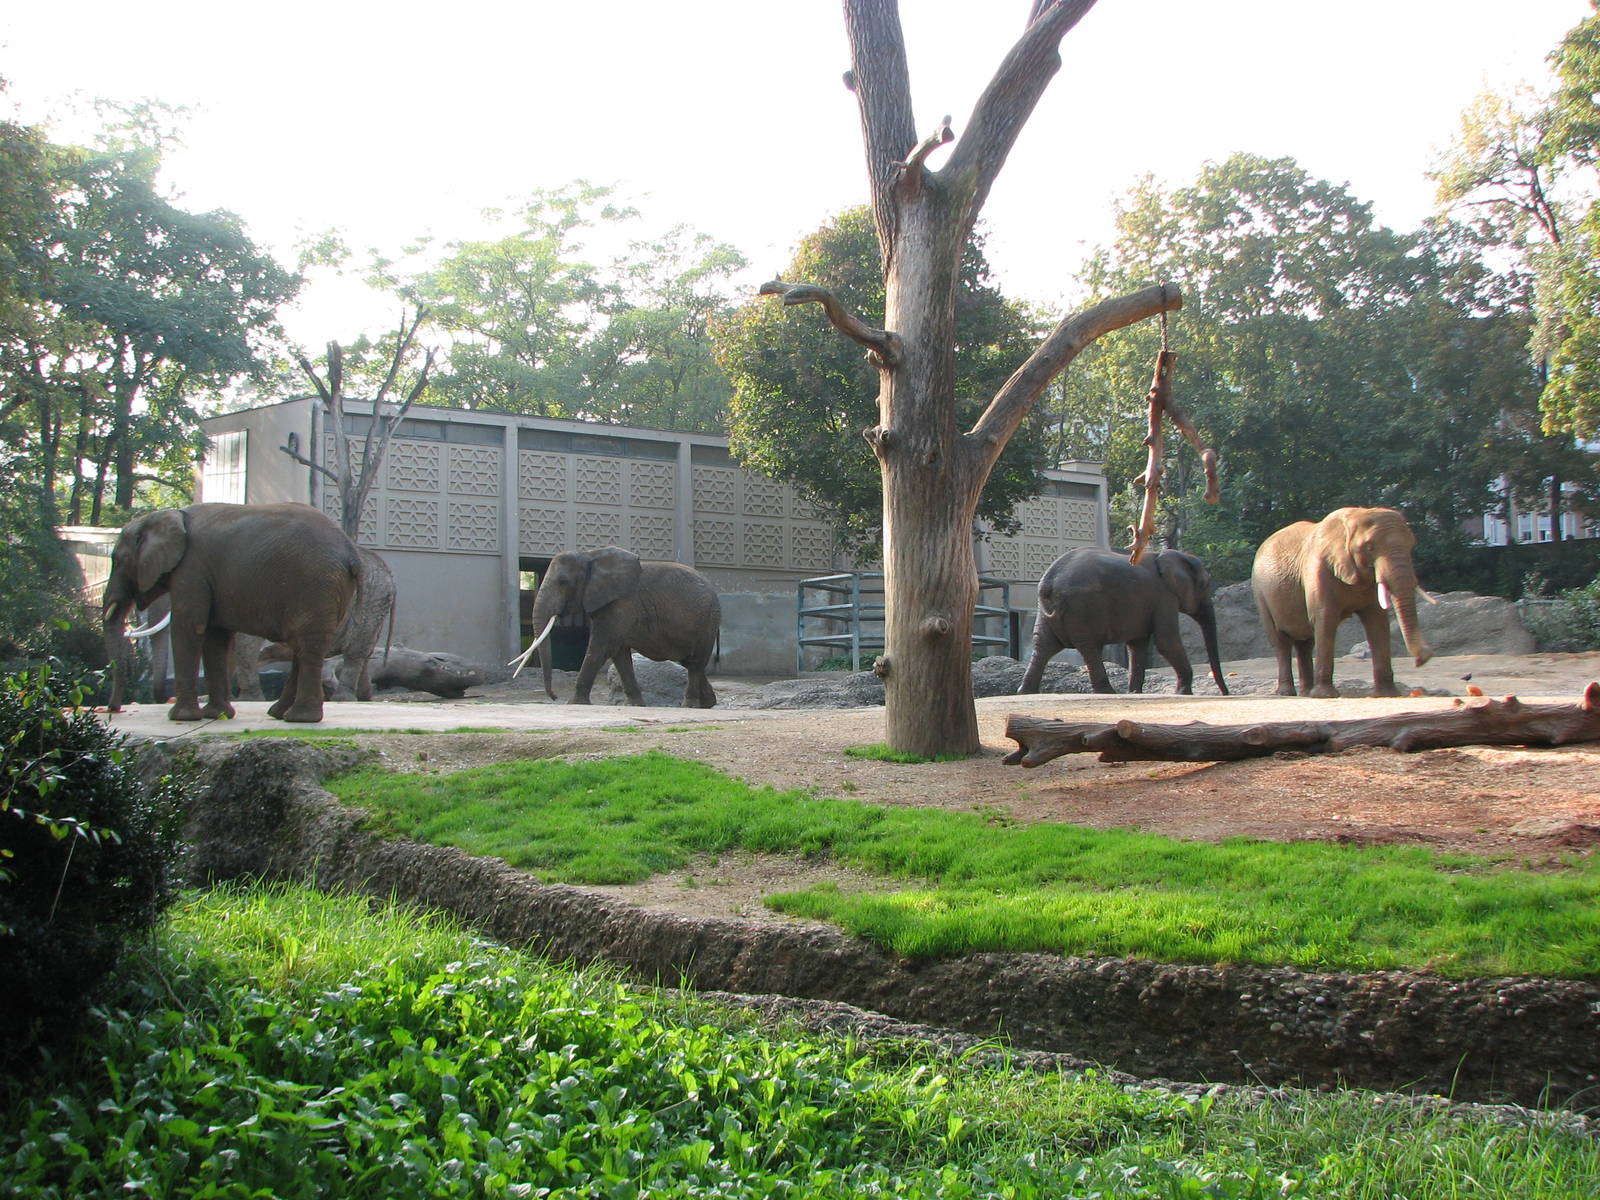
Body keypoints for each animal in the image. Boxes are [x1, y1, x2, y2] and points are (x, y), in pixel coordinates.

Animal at [102, 502, 361, 723]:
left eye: (117, 560)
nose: (114, 709)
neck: (168, 515)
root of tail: (350, 551)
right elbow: (215, 636)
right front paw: (217, 715)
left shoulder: (191, 569)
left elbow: (189, 627)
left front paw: (181, 718)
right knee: (303, 645)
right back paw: (279, 714)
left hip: (315, 583)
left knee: (307, 645)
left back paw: (299, 718)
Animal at [515, 546, 720, 707]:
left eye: (563, 582)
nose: (555, 697)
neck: (590, 555)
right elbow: (619, 655)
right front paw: (636, 705)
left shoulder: (621, 604)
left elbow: (601, 647)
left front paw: (574, 703)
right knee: (691, 662)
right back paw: (708, 703)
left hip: (706, 622)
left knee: (695, 663)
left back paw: (689, 705)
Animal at [1018, 547, 1229, 695]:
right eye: (1205, 585)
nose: (1225, 694)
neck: (1165, 555)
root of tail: (1050, 582)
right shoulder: (1164, 597)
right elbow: (1166, 642)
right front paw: (1183, 693)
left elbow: (1137, 645)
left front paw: (1135, 692)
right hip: (1083, 609)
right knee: (1090, 647)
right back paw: (1106, 692)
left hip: (1050, 611)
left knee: (1042, 645)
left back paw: (1026, 691)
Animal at [1250, 506, 1432, 698]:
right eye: (1369, 547)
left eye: (1411, 545)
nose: (1421, 659)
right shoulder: (1319, 569)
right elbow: (1325, 620)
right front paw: (1325, 695)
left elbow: (1377, 622)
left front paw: (1387, 694)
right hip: (1261, 593)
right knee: (1281, 641)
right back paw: (1287, 693)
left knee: (1305, 643)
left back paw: (1306, 693)